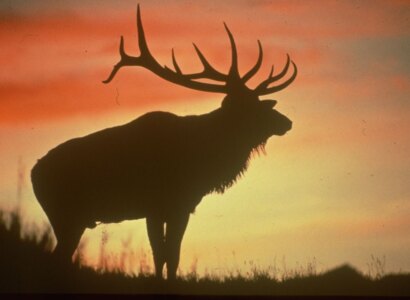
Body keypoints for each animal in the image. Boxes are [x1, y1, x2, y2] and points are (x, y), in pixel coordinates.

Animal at [30, 5, 296, 282]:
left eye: (260, 102)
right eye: (250, 107)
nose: (286, 122)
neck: (203, 159)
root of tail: (33, 173)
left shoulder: (178, 206)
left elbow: (170, 256)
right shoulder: (158, 206)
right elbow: (163, 254)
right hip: (65, 216)